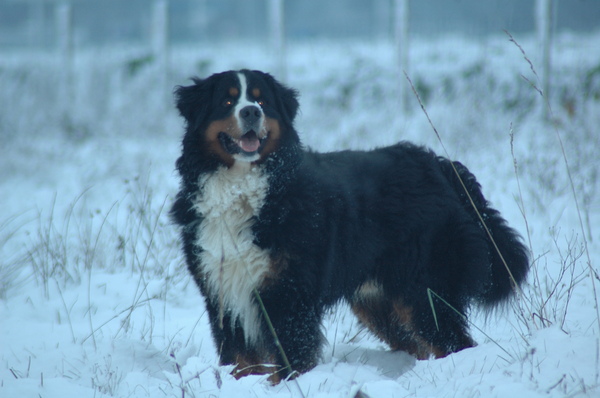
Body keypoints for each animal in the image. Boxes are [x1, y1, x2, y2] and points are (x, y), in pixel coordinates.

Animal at [170, 69, 528, 382]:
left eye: (262, 101)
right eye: (228, 101)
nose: (250, 112)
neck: (242, 190)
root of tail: (439, 164)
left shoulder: (288, 297)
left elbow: (290, 360)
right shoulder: (224, 294)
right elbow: (240, 362)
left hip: (426, 292)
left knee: (454, 343)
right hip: (383, 303)